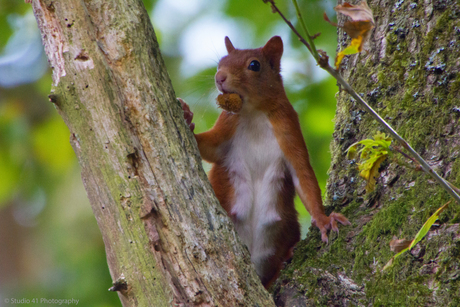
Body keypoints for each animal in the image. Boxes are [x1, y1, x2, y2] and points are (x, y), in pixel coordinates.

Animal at [179, 36, 348, 288]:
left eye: (254, 65)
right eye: (221, 62)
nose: (219, 78)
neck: (253, 113)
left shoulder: (288, 129)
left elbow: (303, 177)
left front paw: (323, 219)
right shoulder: (227, 127)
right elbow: (209, 148)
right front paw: (187, 118)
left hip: (286, 229)